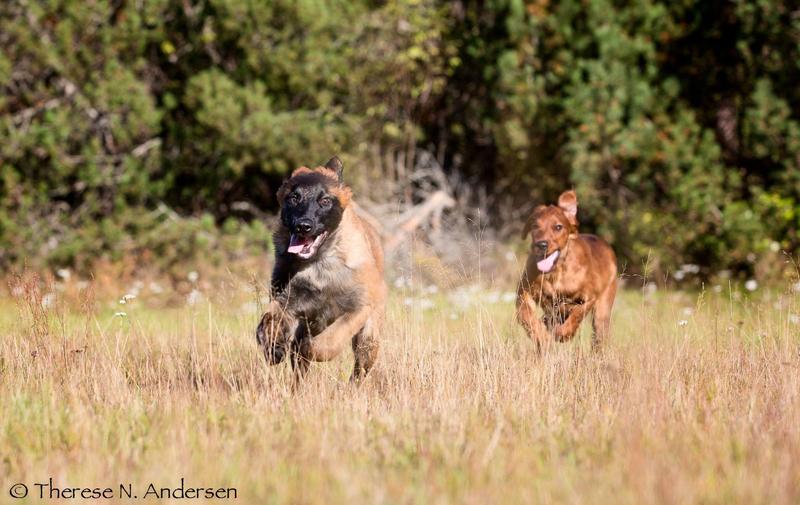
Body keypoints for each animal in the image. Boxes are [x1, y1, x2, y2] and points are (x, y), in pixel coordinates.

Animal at [253, 157, 384, 382]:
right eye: (294, 198)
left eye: (325, 201)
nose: (303, 226)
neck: (318, 265)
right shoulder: (287, 303)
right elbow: (268, 321)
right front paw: (273, 347)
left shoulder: (358, 309)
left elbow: (328, 342)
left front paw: (312, 349)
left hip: (368, 338)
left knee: (358, 371)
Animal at [516, 189, 620, 350]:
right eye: (535, 226)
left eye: (558, 227)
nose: (541, 244)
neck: (555, 272)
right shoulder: (523, 294)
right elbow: (527, 318)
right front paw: (543, 338)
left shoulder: (590, 297)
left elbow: (577, 313)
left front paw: (563, 334)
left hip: (602, 312)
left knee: (597, 338)